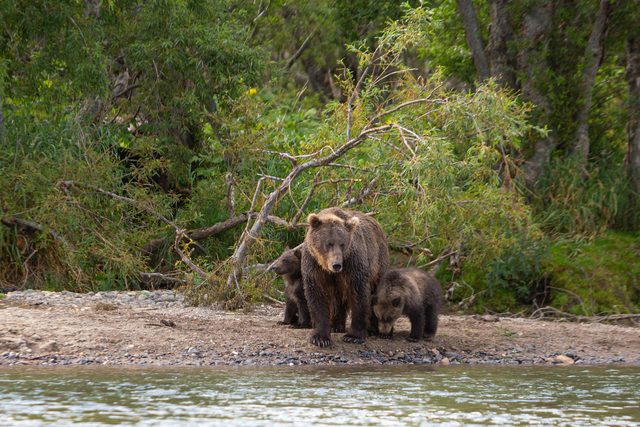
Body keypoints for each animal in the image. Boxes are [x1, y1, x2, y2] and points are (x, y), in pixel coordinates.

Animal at [302, 207, 389, 347]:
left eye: (342, 244)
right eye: (329, 243)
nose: (337, 265)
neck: (326, 266)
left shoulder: (352, 262)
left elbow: (358, 293)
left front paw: (353, 336)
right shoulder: (313, 264)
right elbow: (317, 295)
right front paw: (320, 338)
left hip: (378, 261)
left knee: (378, 292)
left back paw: (375, 330)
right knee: (337, 298)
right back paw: (336, 325)